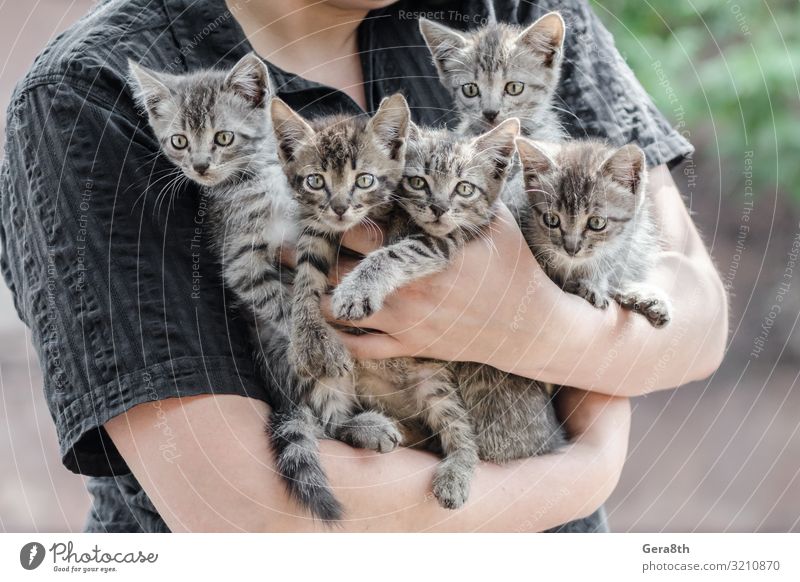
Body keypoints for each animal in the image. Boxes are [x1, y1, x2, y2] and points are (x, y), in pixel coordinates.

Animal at [128, 55, 296, 336]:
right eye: (179, 141)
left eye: (224, 137)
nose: (200, 166)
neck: (259, 172)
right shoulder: (239, 257)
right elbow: (282, 305)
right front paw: (320, 343)